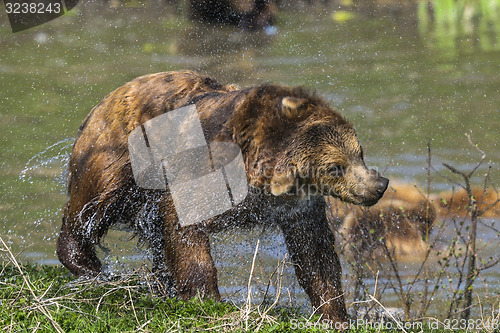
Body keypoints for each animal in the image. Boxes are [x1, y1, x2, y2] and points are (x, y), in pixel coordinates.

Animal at [57, 69, 386, 322]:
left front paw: (335, 313)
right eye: (335, 167)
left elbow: (315, 254)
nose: (379, 184)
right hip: (119, 153)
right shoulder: (203, 171)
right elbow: (185, 229)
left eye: (359, 152)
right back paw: (89, 265)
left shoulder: (298, 209)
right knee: (93, 204)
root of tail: (112, 94)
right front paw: (207, 297)